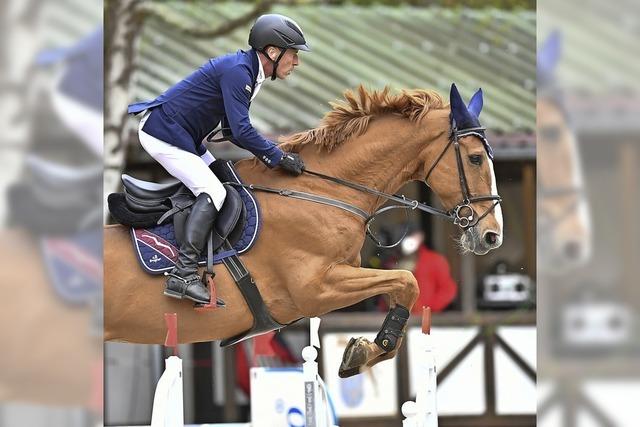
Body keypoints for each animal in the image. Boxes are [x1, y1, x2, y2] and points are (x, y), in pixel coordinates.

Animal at [105, 83, 504, 378]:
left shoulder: (337, 277)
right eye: (474, 158)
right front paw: (366, 352)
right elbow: (407, 280)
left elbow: (402, 286)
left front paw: (366, 351)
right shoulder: (315, 288)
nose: (492, 236)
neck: (320, 190)